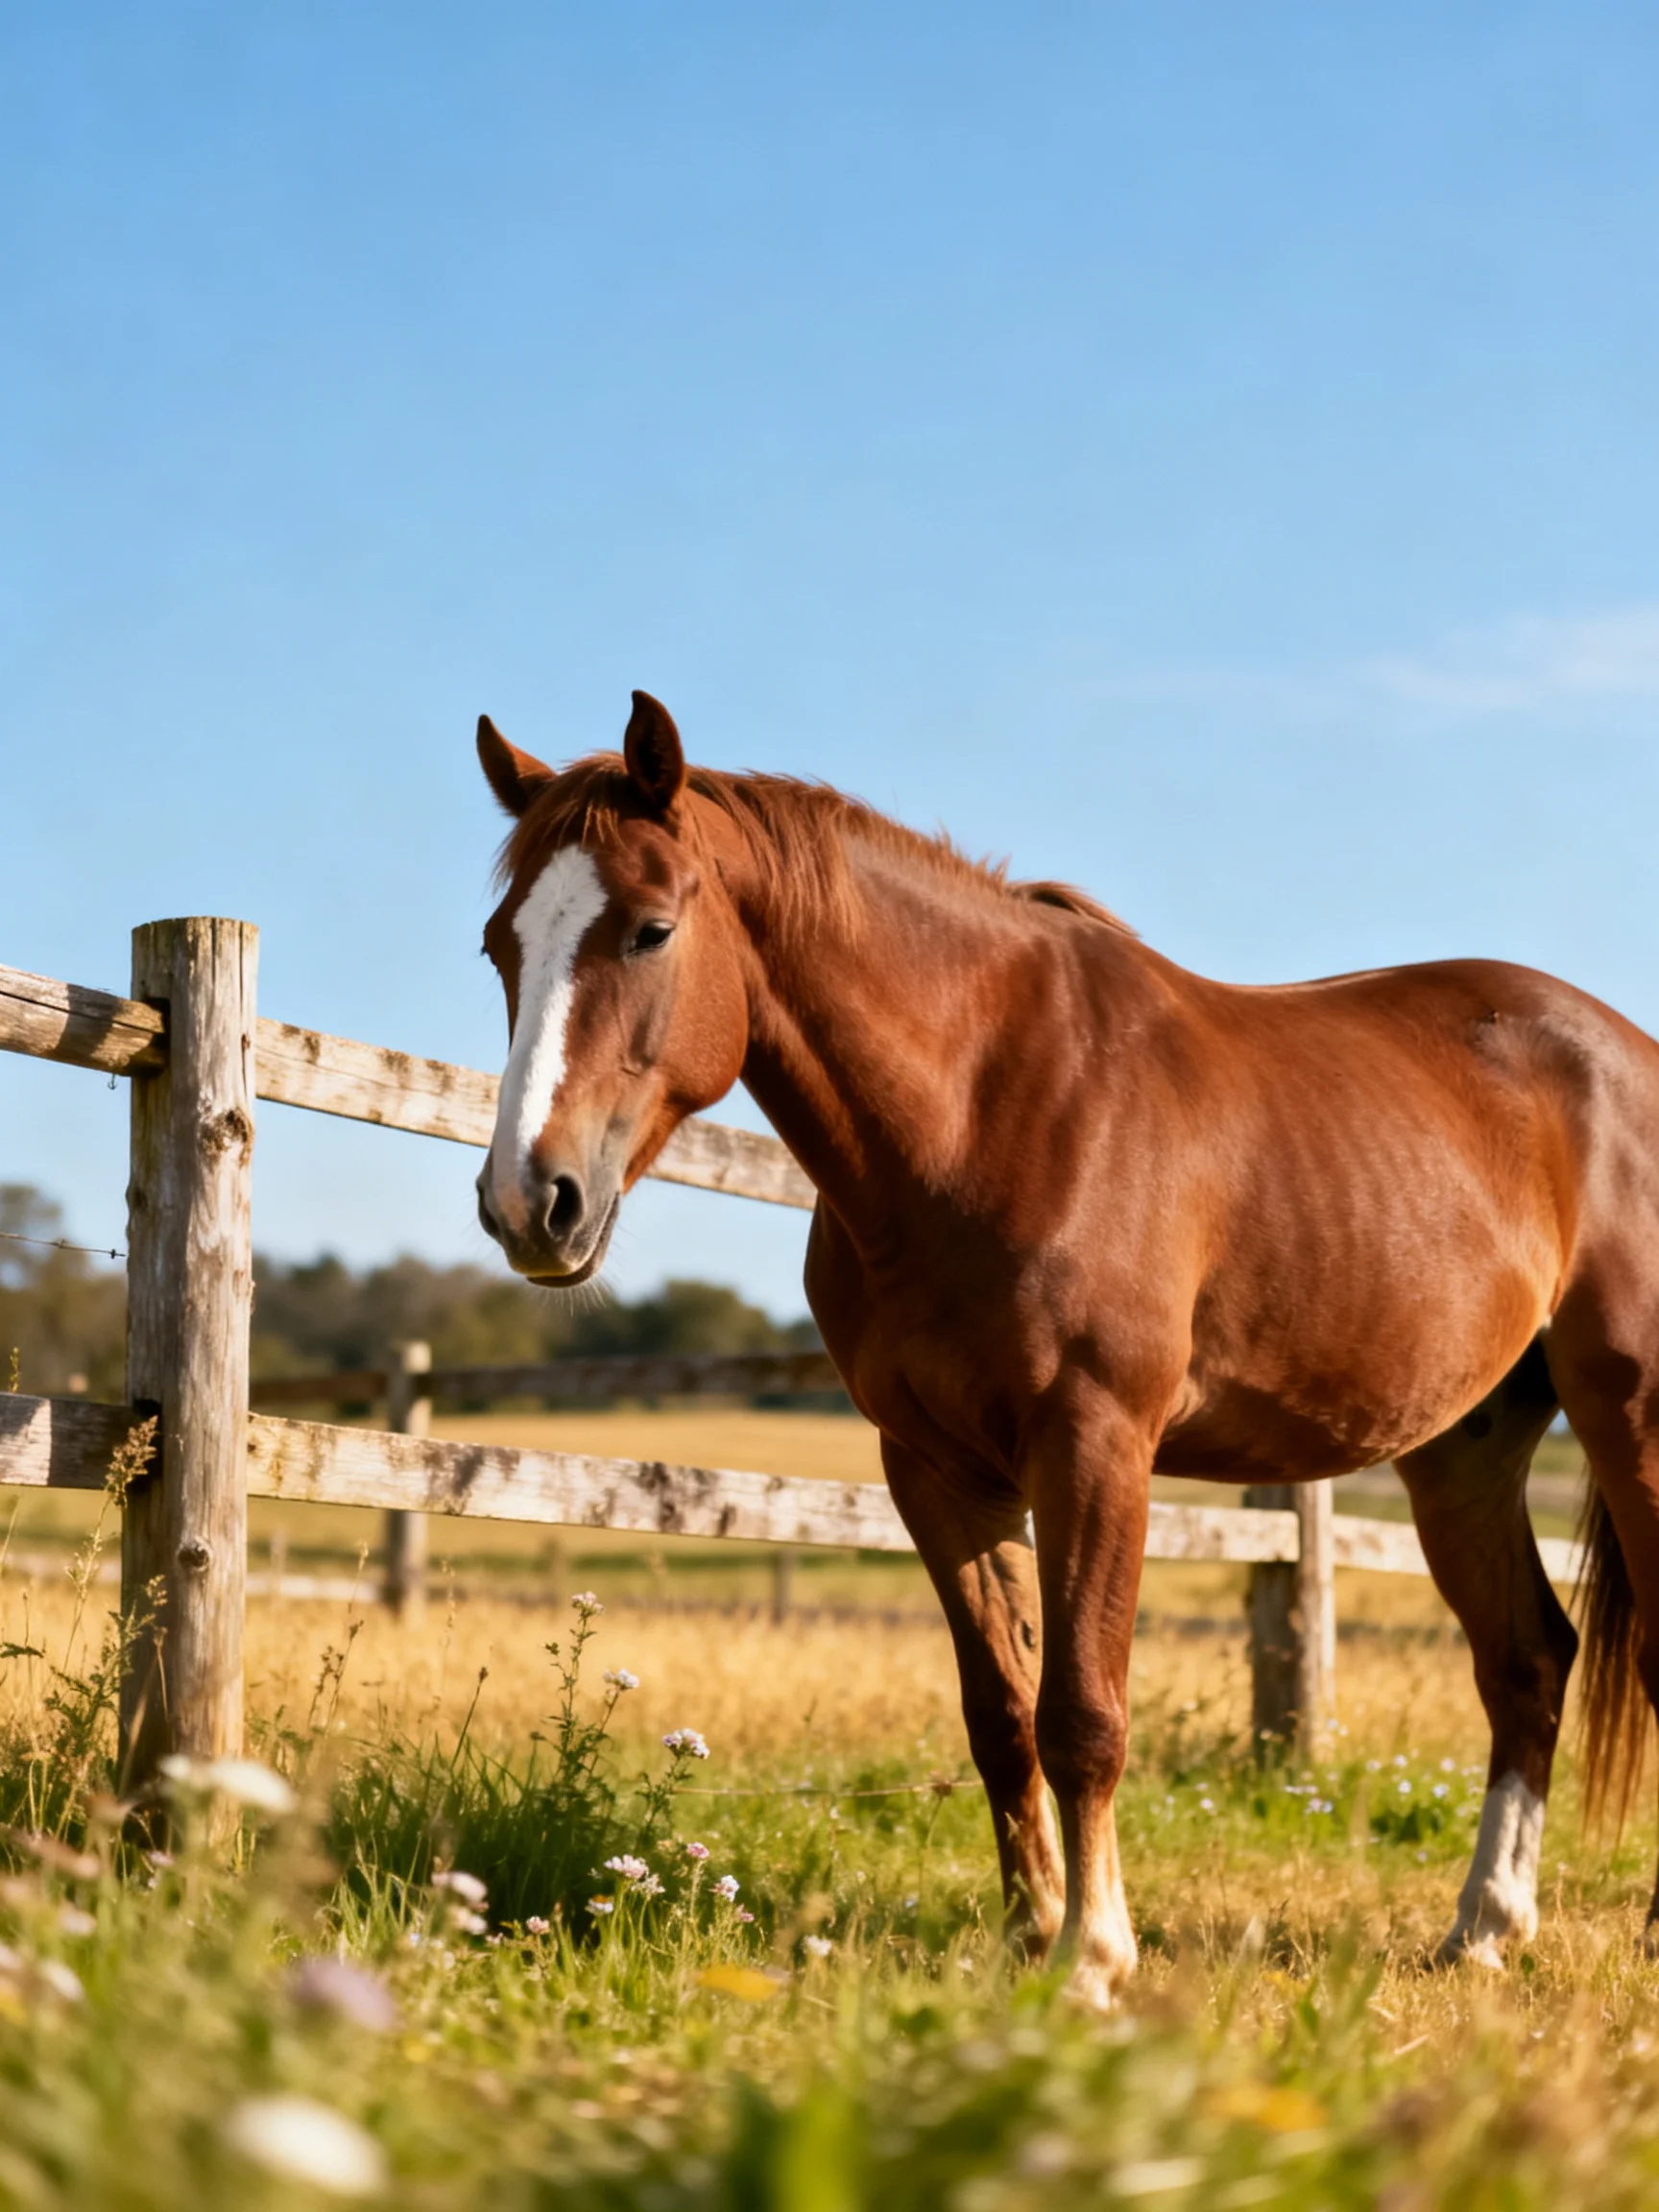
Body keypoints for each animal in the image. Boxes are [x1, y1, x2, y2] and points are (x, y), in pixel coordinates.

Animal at [470, 688, 1659, 2010]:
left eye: (652, 930)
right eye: (502, 947)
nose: (530, 1203)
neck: (986, 1108)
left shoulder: (1094, 1445)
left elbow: (1082, 1713)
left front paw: (1093, 1958)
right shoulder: (936, 1470)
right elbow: (1000, 1713)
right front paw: (1028, 1933)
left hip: (1631, 1415)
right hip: (1463, 1450)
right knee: (1527, 1662)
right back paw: (1485, 1928)